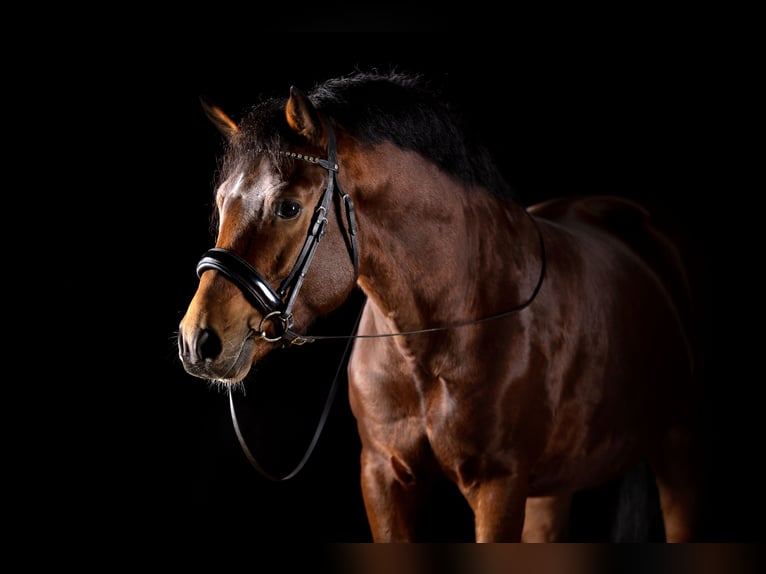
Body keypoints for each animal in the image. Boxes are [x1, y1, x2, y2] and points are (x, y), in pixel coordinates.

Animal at [177, 71, 704, 542]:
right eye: (221, 202)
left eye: (288, 207)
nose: (198, 340)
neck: (439, 331)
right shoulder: (383, 479)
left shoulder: (499, 486)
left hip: (676, 452)